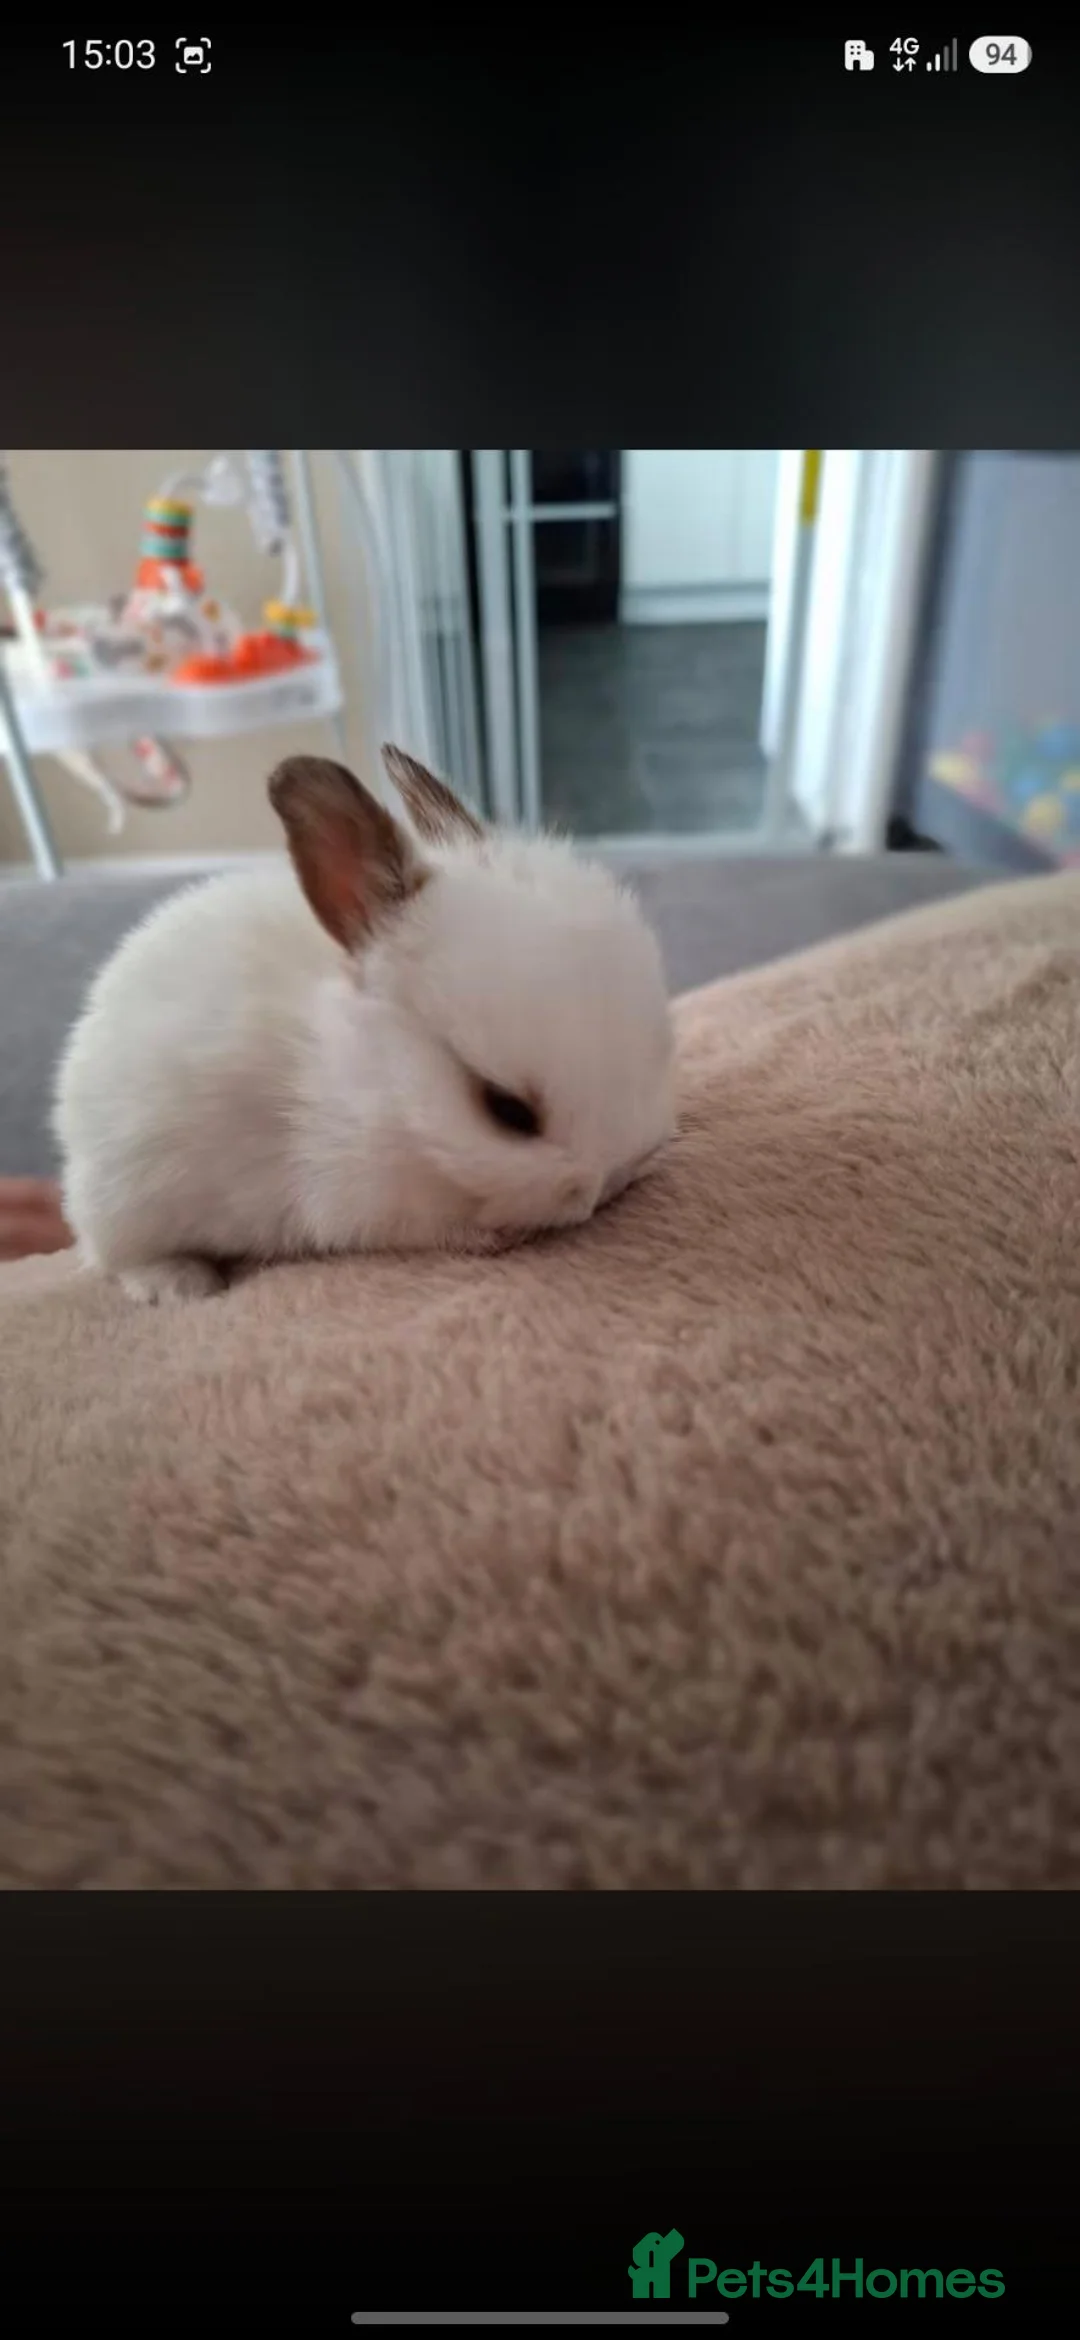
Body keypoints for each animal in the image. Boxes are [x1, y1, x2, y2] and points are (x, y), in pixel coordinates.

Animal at [53, 746, 677, 1304]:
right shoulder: (355, 1200)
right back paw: (181, 1285)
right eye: (506, 1110)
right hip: (122, 1204)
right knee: (112, 1258)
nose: (615, 1176)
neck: (384, 1094)